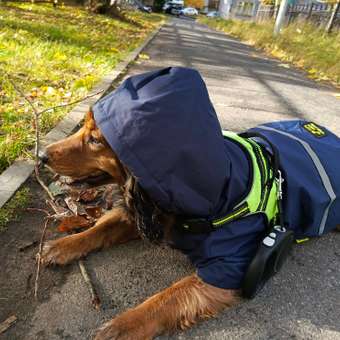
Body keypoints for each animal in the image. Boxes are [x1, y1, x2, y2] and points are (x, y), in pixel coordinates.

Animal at [40, 111, 239, 340]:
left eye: (95, 140)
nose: (41, 155)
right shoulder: (146, 217)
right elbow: (98, 230)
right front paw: (61, 246)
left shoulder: (224, 267)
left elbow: (168, 296)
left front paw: (123, 325)